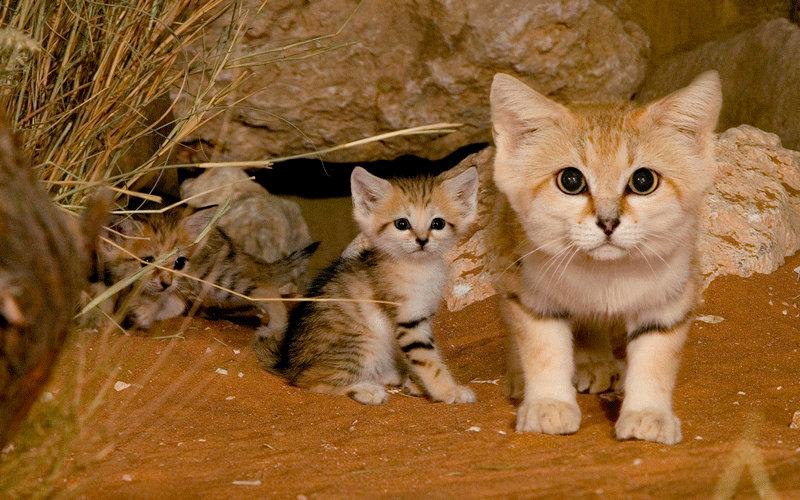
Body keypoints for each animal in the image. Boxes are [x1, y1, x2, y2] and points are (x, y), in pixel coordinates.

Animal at [102, 207, 318, 332]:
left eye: (179, 263)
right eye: (147, 261)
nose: (166, 282)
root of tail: (236, 249)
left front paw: (142, 314)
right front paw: (138, 315)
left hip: (218, 282)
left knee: (265, 289)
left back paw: (276, 327)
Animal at [256, 166, 478, 404]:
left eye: (438, 223)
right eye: (402, 224)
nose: (422, 240)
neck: (417, 267)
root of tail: (287, 365)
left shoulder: (421, 317)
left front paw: (421, 384)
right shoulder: (409, 320)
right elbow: (428, 361)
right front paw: (449, 392)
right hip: (364, 342)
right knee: (310, 379)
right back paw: (366, 389)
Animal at [488, 71, 724, 446]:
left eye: (643, 181)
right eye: (571, 180)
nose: (608, 222)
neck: (605, 274)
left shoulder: (670, 298)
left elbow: (654, 360)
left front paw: (648, 414)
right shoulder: (530, 294)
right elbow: (544, 350)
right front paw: (548, 404)